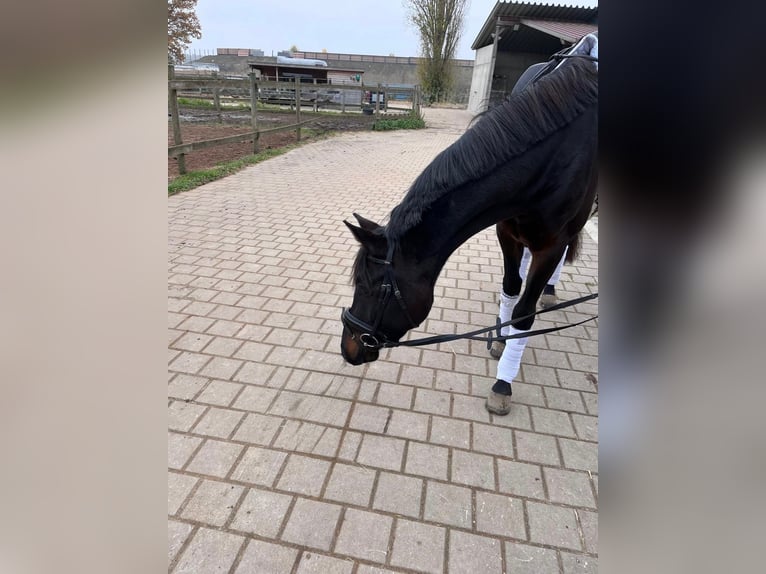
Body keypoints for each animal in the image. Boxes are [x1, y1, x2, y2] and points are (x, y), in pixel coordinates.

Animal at [340, 44, 598, 416]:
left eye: (368, 287)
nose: (347, 348)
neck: (553, 156)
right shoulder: (507, 231)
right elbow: (510, 287)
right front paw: (502, 337)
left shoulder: (551, 245)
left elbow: (524, 314)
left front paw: (503, 382)